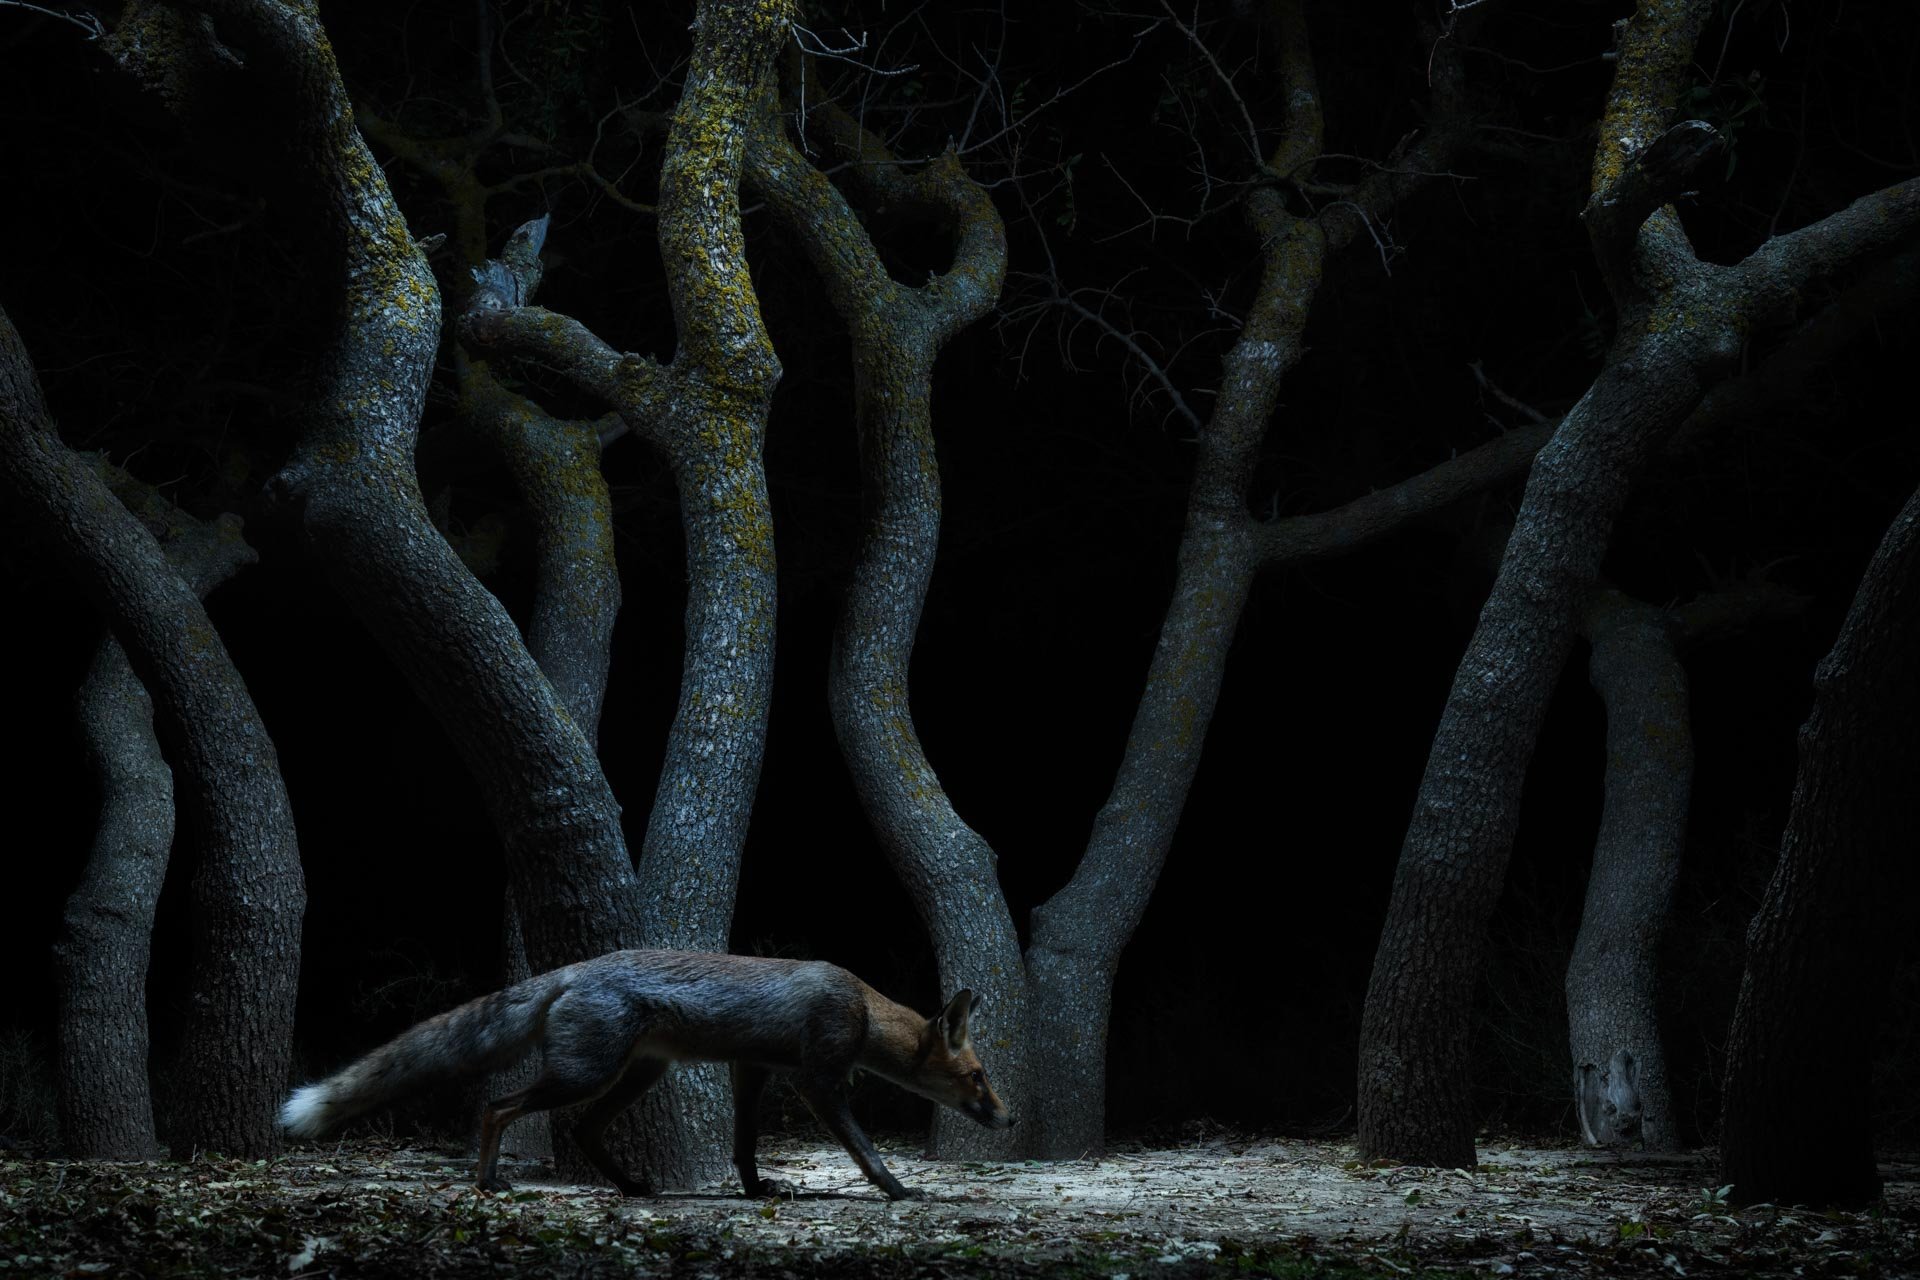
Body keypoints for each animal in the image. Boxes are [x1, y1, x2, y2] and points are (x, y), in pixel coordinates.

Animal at [278, 949, 1013, 1201]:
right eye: (979, 1077)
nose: (1009, 1117)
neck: (859, 1005)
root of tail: (577, 968)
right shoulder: (816, 1080)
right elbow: (864, 1149)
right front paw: (898, 1190)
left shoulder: (753, 1069)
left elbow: (745, 1147)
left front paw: (756, 1191)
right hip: (586, 1074)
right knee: (498, 1107)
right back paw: (488, 1182)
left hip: (635, 1077)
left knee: (582, 1131)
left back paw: (632, 1186)